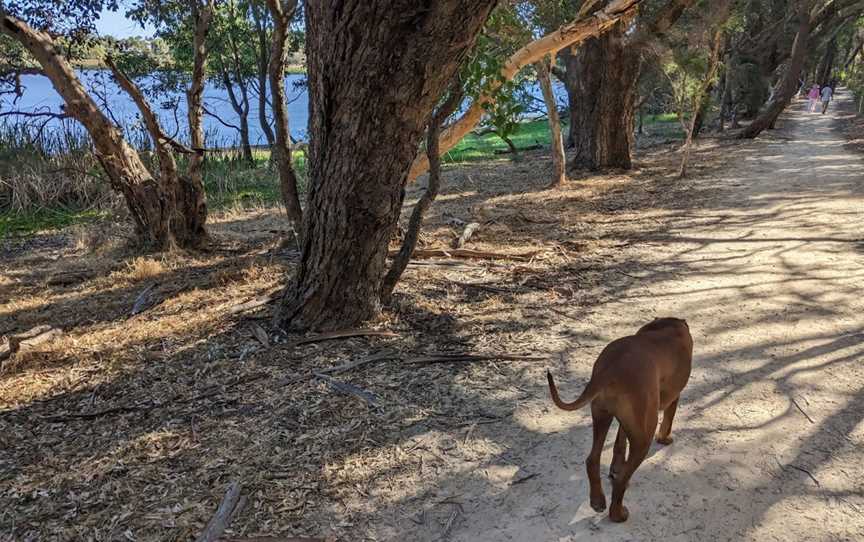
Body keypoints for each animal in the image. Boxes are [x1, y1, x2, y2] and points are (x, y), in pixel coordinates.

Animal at [548, 318, 696, 524]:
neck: (667, 325)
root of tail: (610, 368)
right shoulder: (673, 397)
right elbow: (668, 419)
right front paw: (665, 438)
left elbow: (619, 441)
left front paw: (616, 465)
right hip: (643, 437)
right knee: (620, 482)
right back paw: (617, 514)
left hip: (602, 416)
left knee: (592, 459)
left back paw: (597, 500)